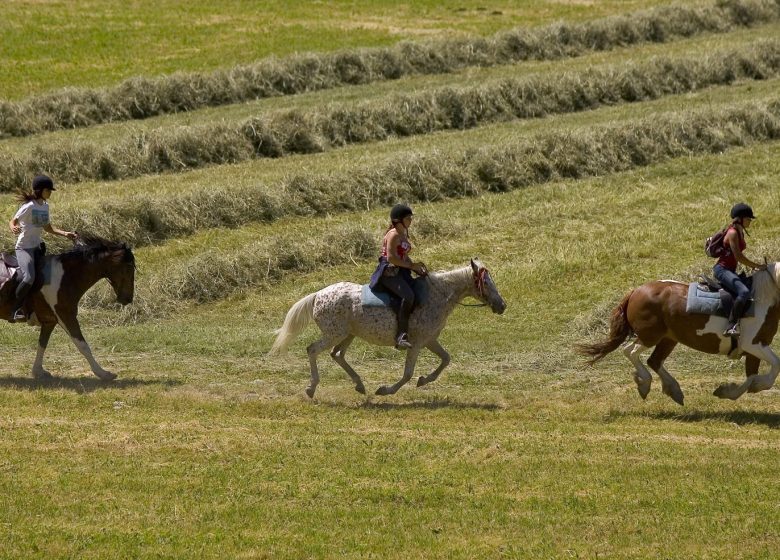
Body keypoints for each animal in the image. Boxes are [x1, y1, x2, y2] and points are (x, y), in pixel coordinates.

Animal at [0, 235, 135, 380]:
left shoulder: (49, 321)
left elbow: (42, 344)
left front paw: (38, 371)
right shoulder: (66, 316)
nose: (128, 299)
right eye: (129, 268)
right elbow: (82, 345)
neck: (65, 277)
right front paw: (103, 373)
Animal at [270, 258, 506, 398]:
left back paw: (359, 385)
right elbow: (408, 373)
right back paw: (311, 388)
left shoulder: (429, 340)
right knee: (312, 350)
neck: (437, 296)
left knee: (337, 354)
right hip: (333, 334)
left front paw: (424, 380)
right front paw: (386, 390)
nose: (502, 305)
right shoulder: (416, 343)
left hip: (348, 335)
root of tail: (318, 295)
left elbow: (446, 359)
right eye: (486, 282)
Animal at [577, 264, 780, 404]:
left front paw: (729, 391)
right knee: (631, 351)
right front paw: (753, 386)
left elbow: (752, 375)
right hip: (650, 336)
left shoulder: (755, 349)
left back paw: (673, 389)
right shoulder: (753, 344)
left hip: (668, 339)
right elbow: (775, 365)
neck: (761, 299)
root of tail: (635, 291)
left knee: (654, 360)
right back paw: (645, 384)